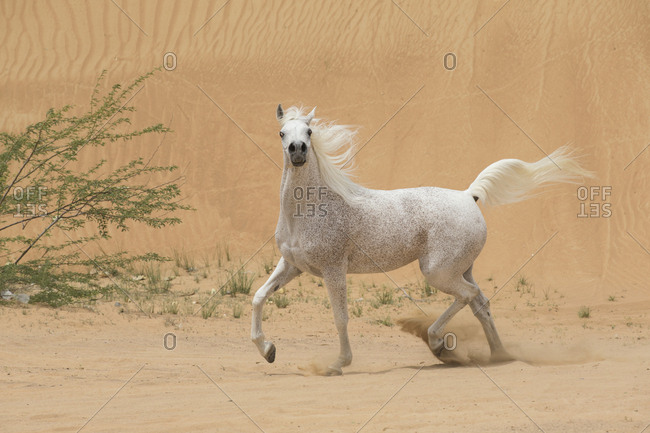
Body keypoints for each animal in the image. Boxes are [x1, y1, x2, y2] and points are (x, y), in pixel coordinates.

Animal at [251, 104, 588, 374]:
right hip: (461, 269)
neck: (311, 210)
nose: (297, 150)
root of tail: (469, 195)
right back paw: (498, 354)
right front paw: (268, 351)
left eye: (309, 131)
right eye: (282, 133)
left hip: (438, 272)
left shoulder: (334, 270)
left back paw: (437, 343)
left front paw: (337, 364)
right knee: (480, 302)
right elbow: (259, 296)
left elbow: (340, 318)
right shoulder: (292, 265)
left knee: (466, 296)